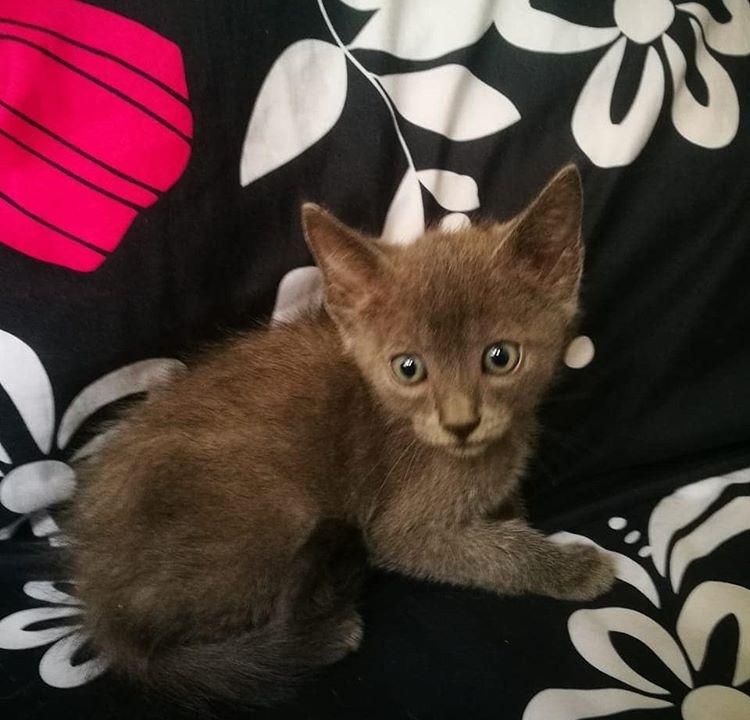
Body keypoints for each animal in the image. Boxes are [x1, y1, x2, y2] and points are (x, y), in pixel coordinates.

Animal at [66, 165, 616, 708]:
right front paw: (572, 567)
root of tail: (103, 611)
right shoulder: (401, 529)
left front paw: (509, 509)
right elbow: (486, 553)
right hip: (279, 512)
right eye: (409, 368)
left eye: (501, 358)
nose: (461, 422)